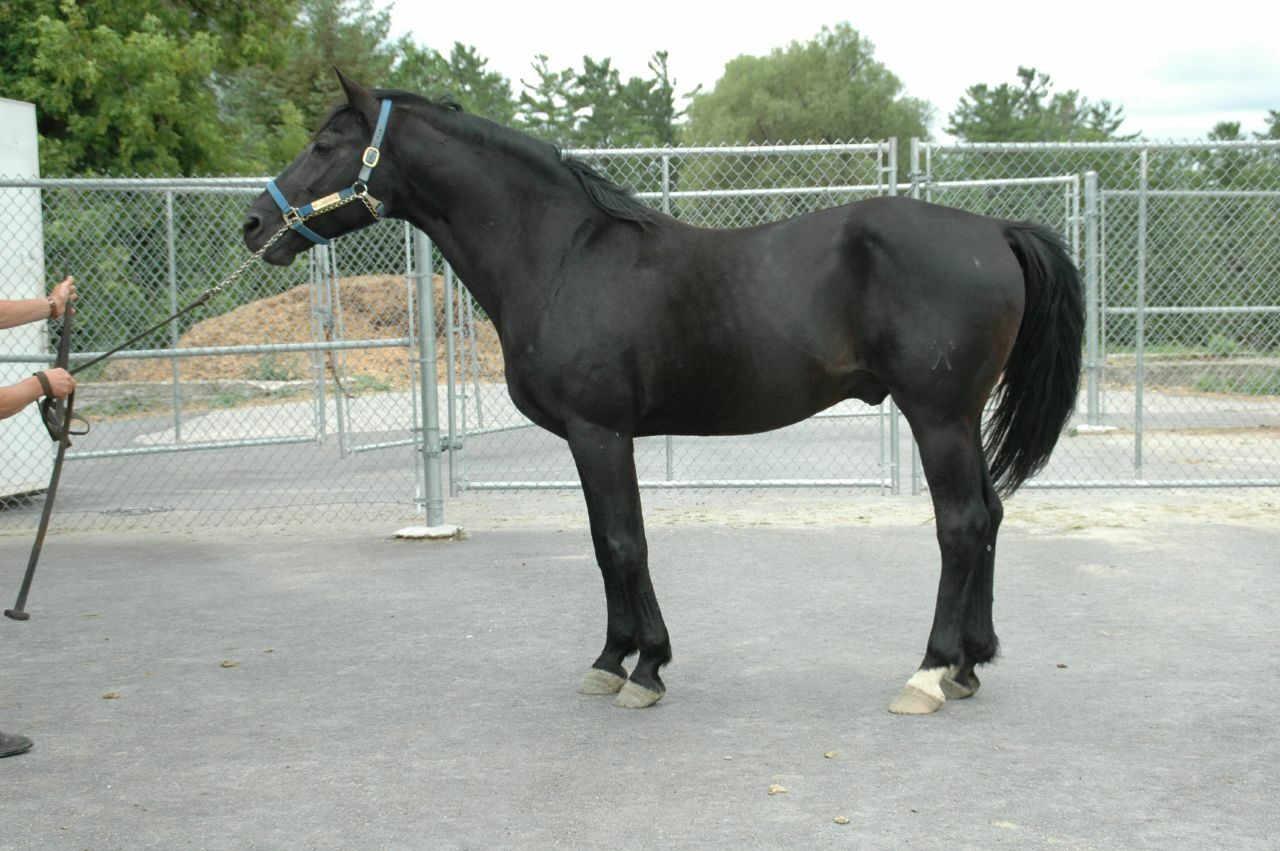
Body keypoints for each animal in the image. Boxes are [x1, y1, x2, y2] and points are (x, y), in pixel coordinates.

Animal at [247, 71, 1080, 711]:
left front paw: (644, 667)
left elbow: (623, 541)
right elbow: (604, 542)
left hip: (937, 416)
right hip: (960, 418)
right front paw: (613, 658)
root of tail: (995, 231)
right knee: (990, 513)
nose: (256, 223)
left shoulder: (599, 430)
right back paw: (971, 663)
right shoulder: (596, 437)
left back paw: (931, 671)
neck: (561, 254)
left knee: (961, 524)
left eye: (325, 145)